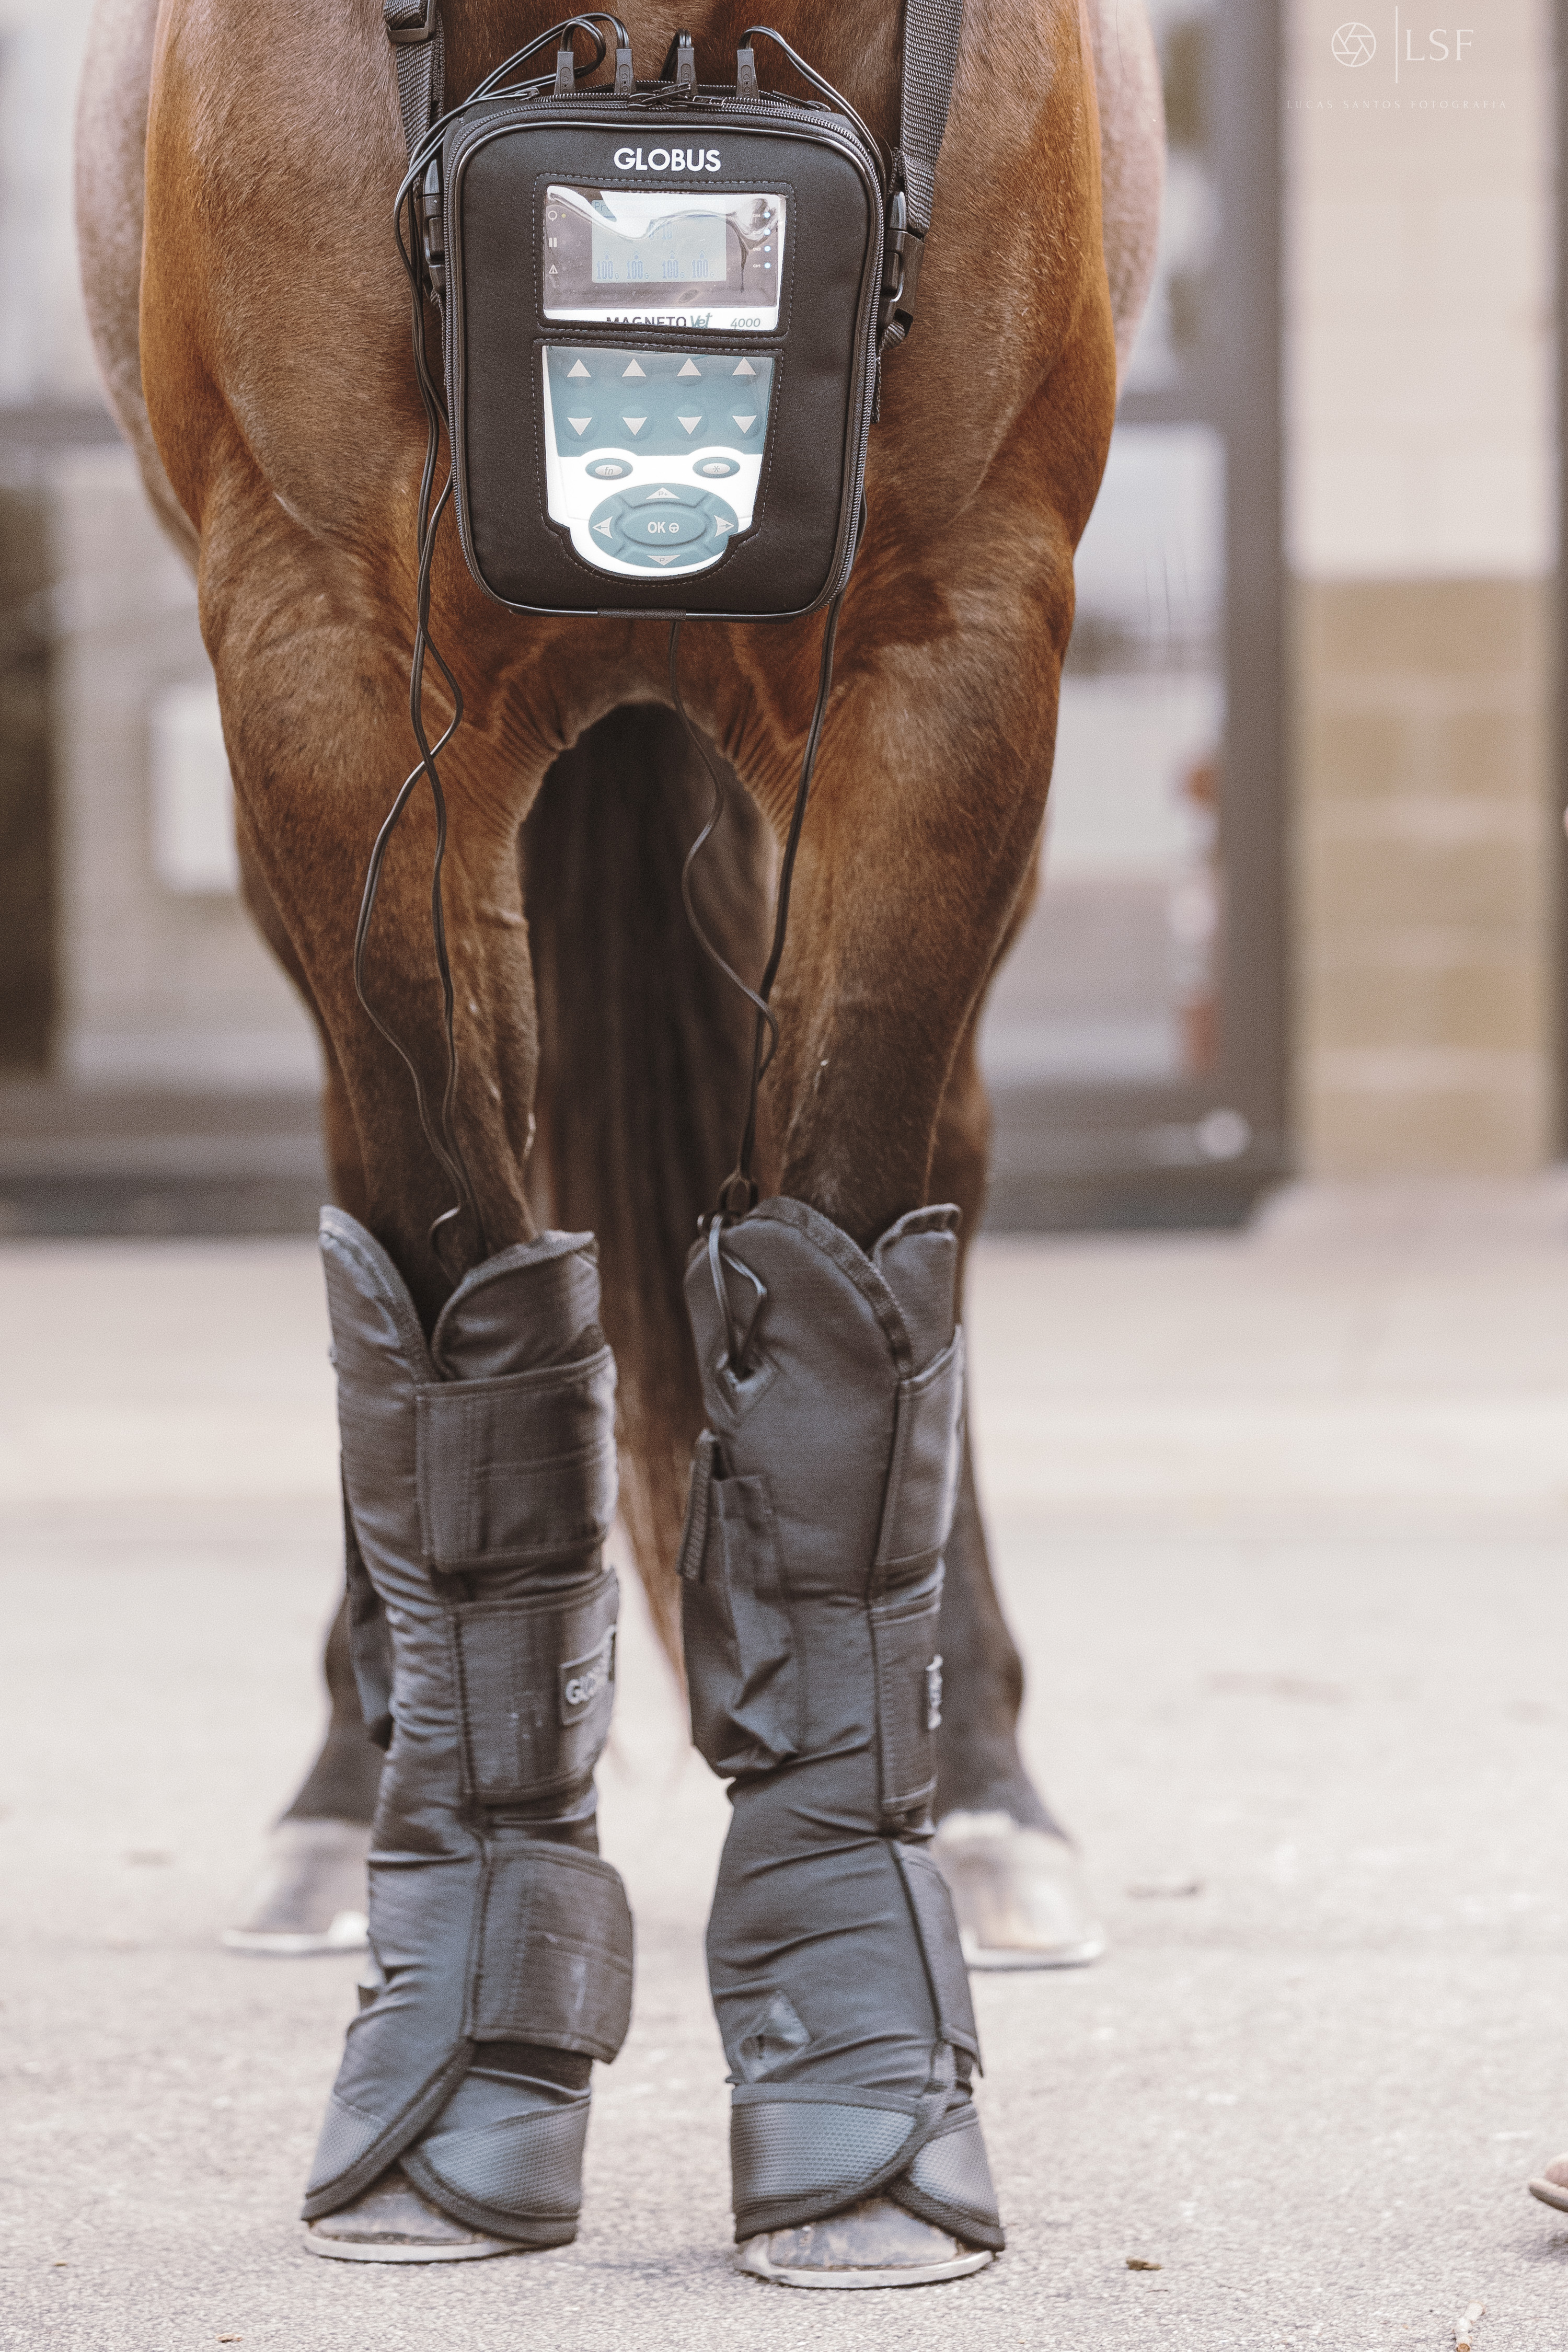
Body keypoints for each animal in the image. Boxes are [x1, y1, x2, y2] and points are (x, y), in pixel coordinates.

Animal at [77, 0, 1161, 2283]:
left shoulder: (946, 653)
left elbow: (842, 1268)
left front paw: (867, 2102)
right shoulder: (324, 656)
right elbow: (450, 1277)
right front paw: (448, 2091)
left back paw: (989, 1795)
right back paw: (340, 1795)